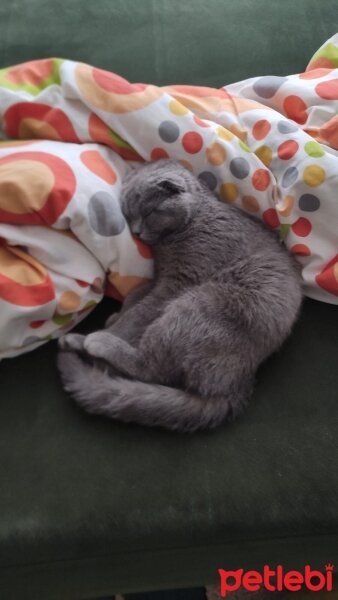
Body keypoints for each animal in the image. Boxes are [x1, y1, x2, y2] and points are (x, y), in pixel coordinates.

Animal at [57, 159, 302, 432]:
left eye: (149, 213)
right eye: (129, 216)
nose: (137, 232)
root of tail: (237, 384)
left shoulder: (177, 284)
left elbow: (137, 314)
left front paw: (115, 327)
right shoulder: (159, 278)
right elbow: (135, 298)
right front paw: (118, 314)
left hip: (194, 305)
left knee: (150, 369)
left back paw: (92, 341)